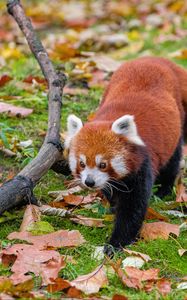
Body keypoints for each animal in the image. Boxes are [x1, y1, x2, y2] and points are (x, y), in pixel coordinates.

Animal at [64, 56, 187, 255]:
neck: (108, 118)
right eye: (82, 163)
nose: (89, 182)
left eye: (103, 164)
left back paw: (164, 189)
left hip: (176, 126)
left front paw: (116, 244)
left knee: (172, 161)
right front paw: (113, 204)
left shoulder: (142, 163)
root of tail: (159, 59)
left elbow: (133, 207)